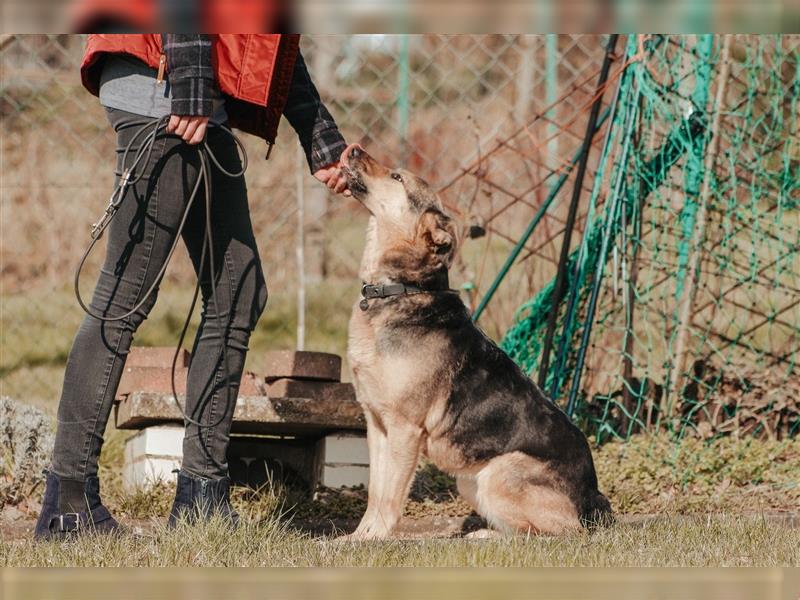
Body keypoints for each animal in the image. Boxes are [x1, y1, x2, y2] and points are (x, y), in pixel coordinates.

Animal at [340, 144, 612, 540]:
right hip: (470, 481)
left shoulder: (405, 430)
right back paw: (485, 534)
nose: (353, 148)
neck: (400, 288)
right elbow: (375, 493)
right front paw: (357, 538)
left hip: (499, 473)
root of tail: (592, 496)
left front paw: (375, 540)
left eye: (397, 177)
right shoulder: (376, 425)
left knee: (555, 535)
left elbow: (390, 497)